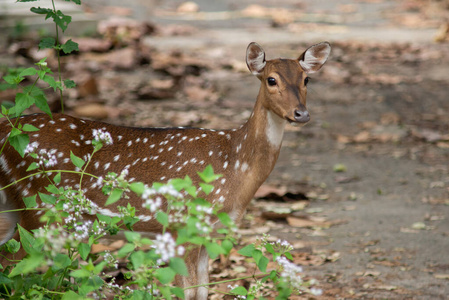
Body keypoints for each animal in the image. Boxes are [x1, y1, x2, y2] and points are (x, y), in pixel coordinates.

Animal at [0, 41, 328, 298]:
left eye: (306, 80)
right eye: (271, 80)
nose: (301, 113)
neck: (234, 165)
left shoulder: (207, 233)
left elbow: (202, 290)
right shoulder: (182, 223)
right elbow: (188, 290)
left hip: (16, 207)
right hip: (38, 205)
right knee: (12, 265)